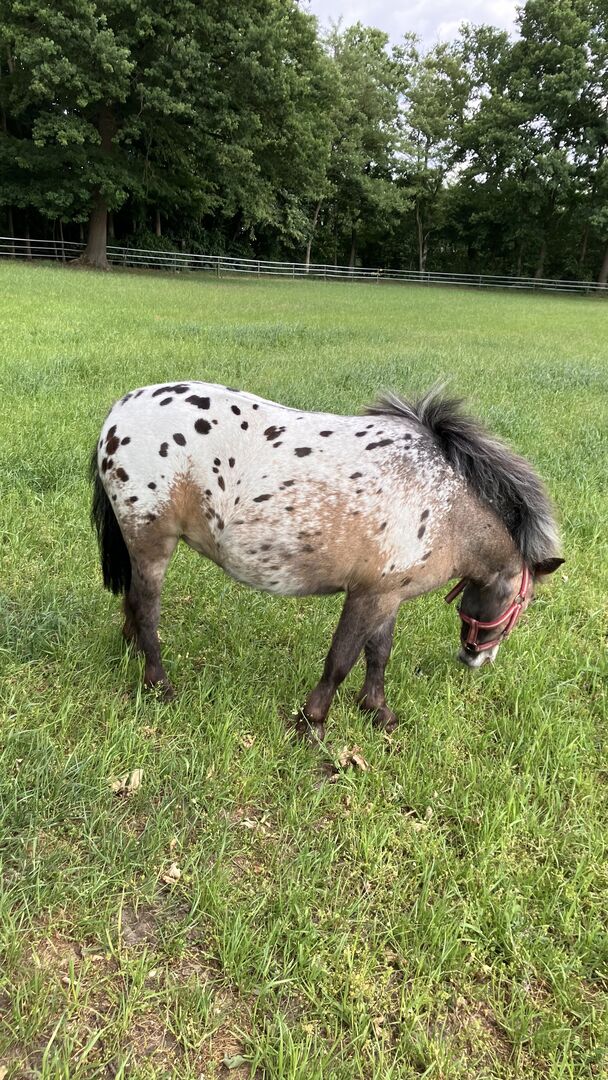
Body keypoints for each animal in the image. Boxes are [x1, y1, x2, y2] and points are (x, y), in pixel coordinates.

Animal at [90, 382, 563, 739]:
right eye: (522, 604)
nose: (477, 659)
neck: (443, 505)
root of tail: (120, 413)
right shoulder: (367, 596)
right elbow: (341, 659)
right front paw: (313, 722)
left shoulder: (388, 595)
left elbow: (379, 654)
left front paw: (377, 711)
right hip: (153, 541)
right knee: (146, 607)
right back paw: (159, 684)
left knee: (133, 602)